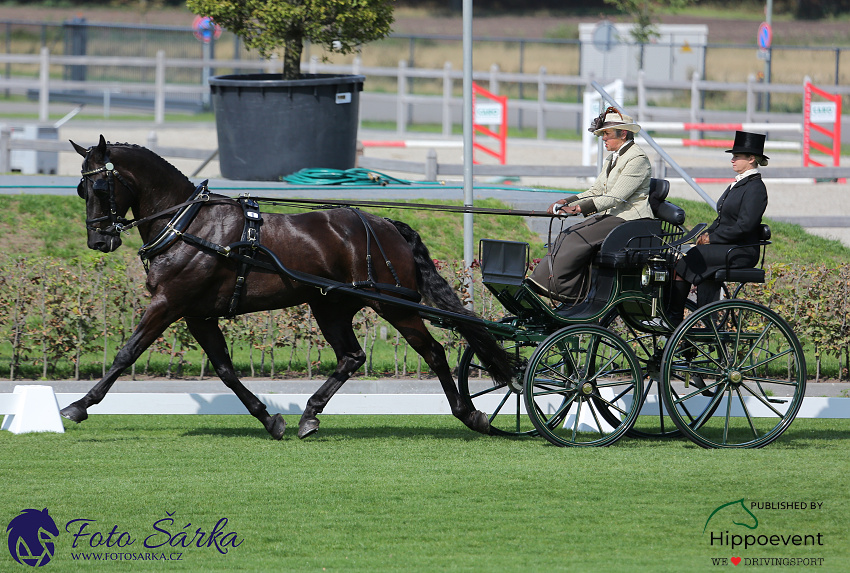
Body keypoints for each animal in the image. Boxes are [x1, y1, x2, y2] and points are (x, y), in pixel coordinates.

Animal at [63, 135, 512, 438]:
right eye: (82, 188)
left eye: (100, 186)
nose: (99, 240)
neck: (189, 225)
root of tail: (385, 224)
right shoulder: (198, 315)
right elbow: (225, 370)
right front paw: (270, 419)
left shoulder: (168, 303)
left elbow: (127, 353)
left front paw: (78, 405)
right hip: (330, 306)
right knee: (352, 356)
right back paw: (309, 414)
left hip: (393, 304)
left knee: (433, 352)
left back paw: (468, 412)